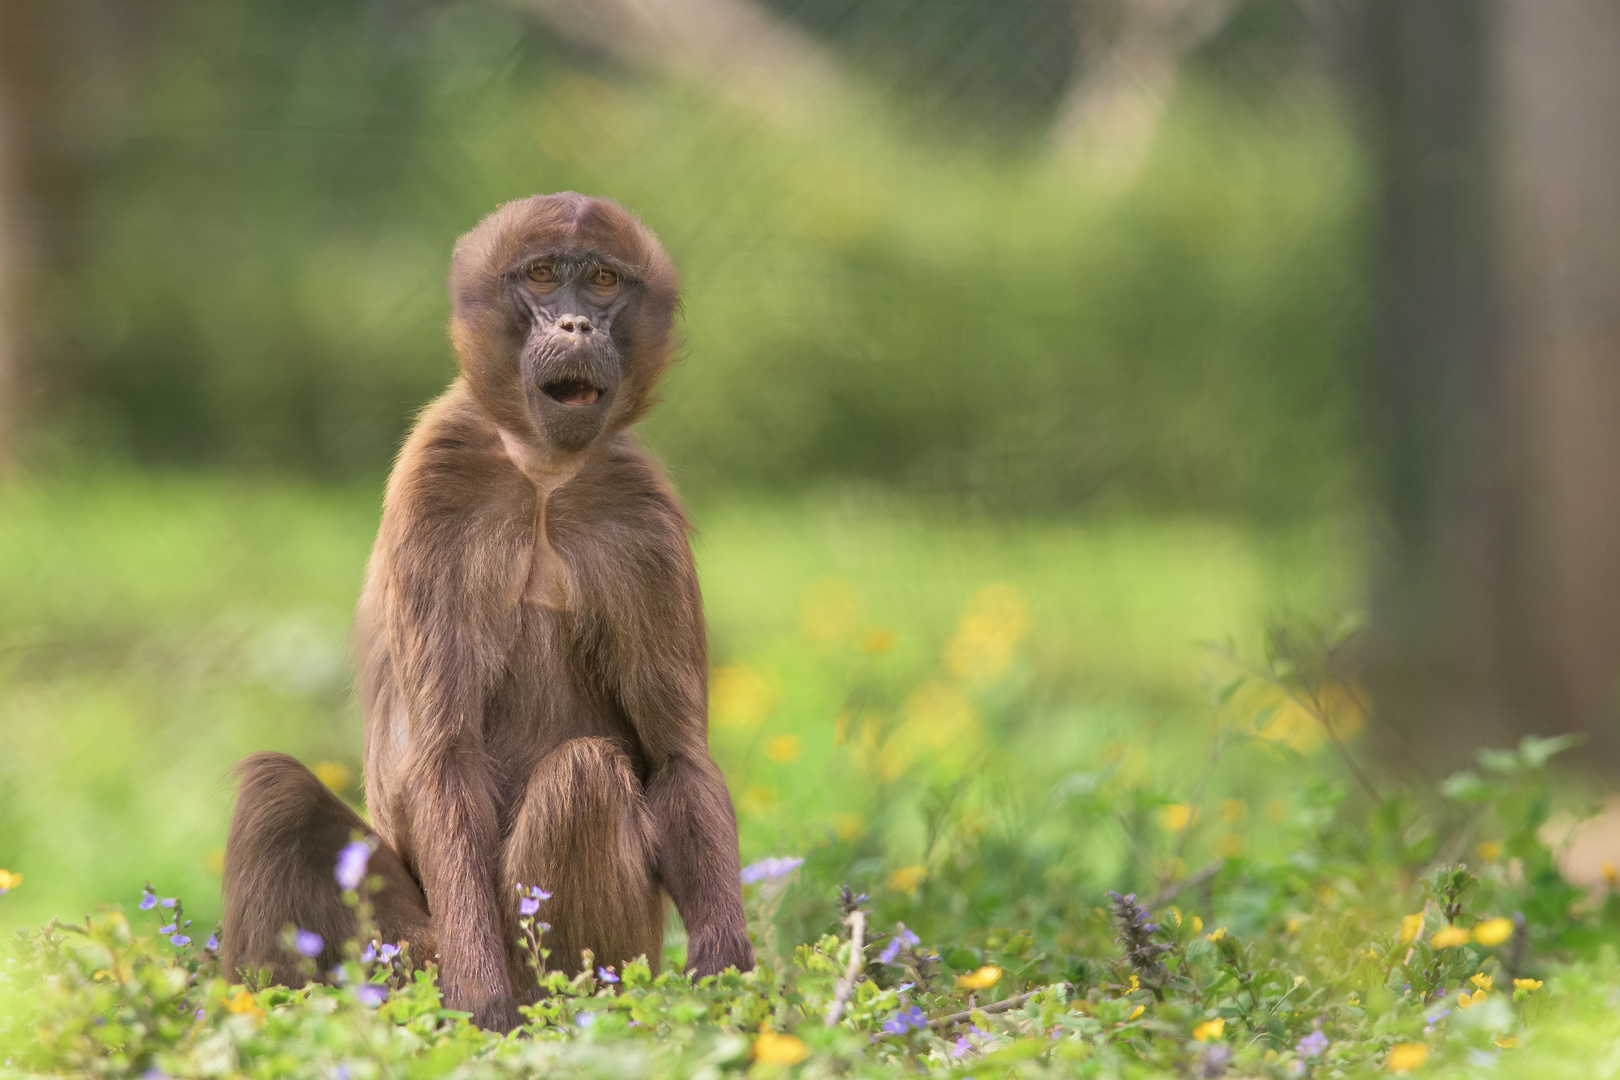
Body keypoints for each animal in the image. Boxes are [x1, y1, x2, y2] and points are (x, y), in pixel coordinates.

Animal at [221, 191, 758, 1029]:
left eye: (603, 281)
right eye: (541, 276)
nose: (576, 326)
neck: (541, 476)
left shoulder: (644, 518)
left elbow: (678, 757)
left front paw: (725, 968)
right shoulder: (437, 484)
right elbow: (445, 752)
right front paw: (483, 1002)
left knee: (584, 776)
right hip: (412, 952)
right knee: (276, 795)